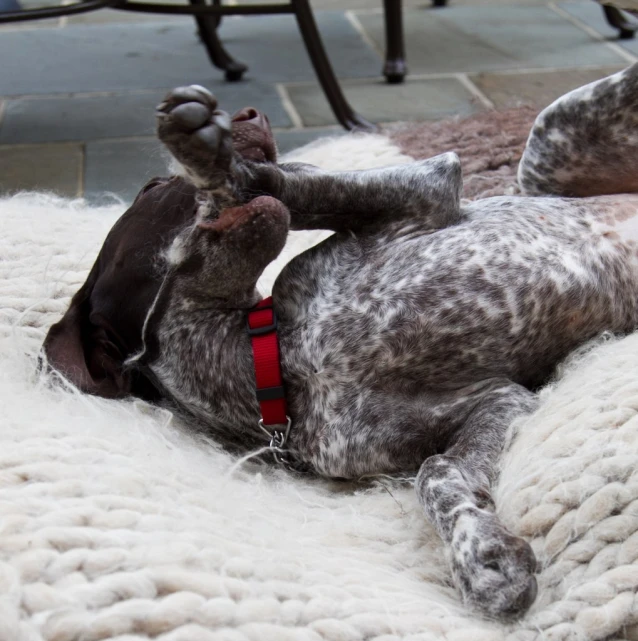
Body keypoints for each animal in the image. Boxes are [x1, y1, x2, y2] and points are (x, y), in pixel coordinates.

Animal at [41, 66, 638, 620]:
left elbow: (277, 183)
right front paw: (482, 555)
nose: (250, 116)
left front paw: (209, 155)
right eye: (150, 190)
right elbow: (436, 471)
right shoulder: (494, 399)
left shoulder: (426, 189)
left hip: (553, 130)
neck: (286, 360)